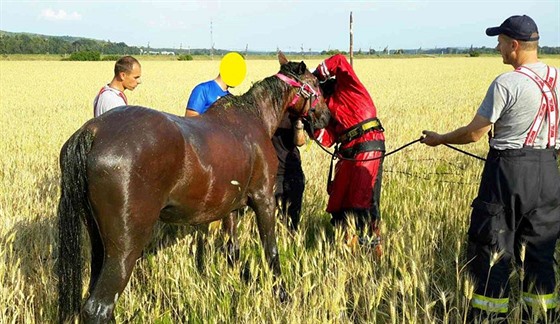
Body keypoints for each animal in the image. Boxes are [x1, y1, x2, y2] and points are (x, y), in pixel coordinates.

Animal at [56, 53, 330, 322]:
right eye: (316, 85)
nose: (326, 117)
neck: (254, 117)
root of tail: (93, 131)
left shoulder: (230, 207)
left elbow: (232, 250)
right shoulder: (264, 199)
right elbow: (271, 251)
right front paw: (282, 295)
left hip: (98, 239)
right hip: (125, 246)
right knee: (99, 307)